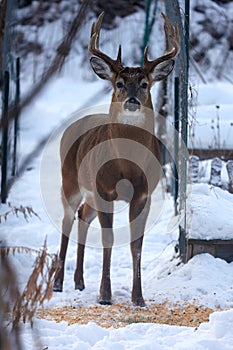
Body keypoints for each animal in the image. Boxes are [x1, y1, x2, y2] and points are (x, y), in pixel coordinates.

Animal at [53, 12, 179, 304]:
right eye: (120, 83)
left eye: (144, 84)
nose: (132, 100)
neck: (126, 164)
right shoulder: (104, 190)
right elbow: (108, 240)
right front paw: (105, 294)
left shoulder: (143, 194)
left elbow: (137, 245)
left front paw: (138, 298)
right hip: (70, 180)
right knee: (67, 219)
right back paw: (58, 282)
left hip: (88, 193)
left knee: (82, 216)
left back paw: (79, 281)